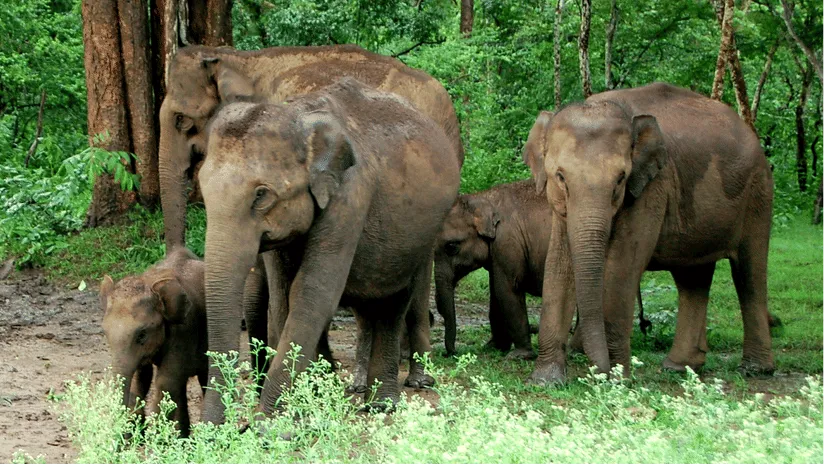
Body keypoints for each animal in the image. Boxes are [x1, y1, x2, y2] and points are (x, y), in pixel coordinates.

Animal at [198, 78, 461, 423]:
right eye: (202, 188)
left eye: (261, 195)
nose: (213, 429)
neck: (299, 115)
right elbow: (284, 294)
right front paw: (311, 400)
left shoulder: (350, 195)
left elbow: (313, 290)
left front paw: (273, 424)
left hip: (424, 233)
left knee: (396, 301)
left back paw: (382, 405)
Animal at [434, 180, 650, 359]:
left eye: (451, 246)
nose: (452, 352)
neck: (483, 197)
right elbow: (495, 294)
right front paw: (493, 347)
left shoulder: (508, 243)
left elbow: (507, 290)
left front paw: (518, 355)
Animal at [522, 82, 774, 385]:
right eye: (560, 177)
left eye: (620, 178)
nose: (597, 370)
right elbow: (559, 265)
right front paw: (545, 380)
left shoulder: (651, 188)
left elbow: (623, 266)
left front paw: (618, 379)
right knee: (693, 278)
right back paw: (680, 367)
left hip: (758, 194)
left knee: (749, 273)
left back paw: (755, 370)